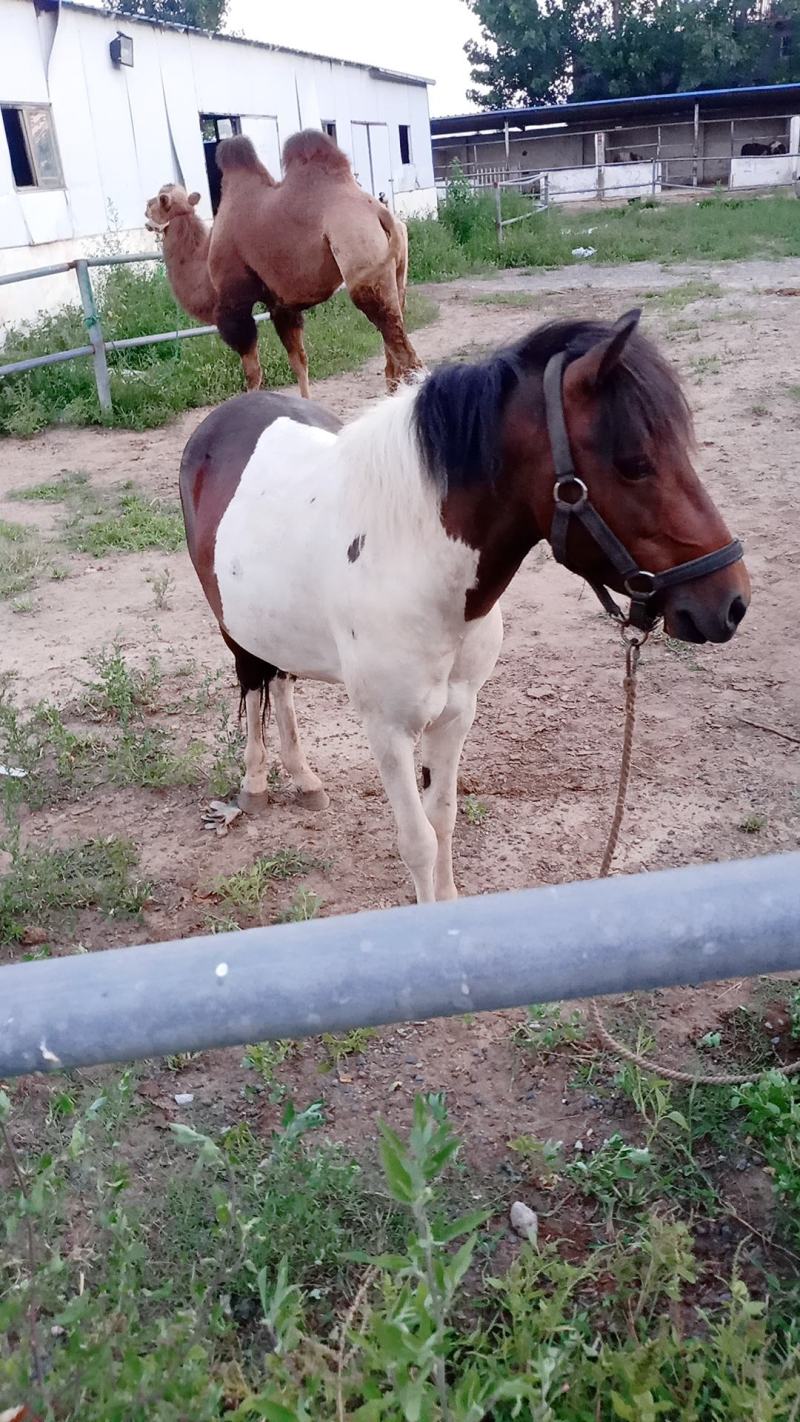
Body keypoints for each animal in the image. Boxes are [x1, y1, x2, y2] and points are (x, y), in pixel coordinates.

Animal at [179, 311, 750, 904]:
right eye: (634, 464)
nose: (731, 603)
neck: (409, 559)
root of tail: (221, 421)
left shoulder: (456, 715)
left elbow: (444, 819)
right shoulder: (387, 732)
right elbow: (417, 841)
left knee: (282, 682)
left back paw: (304, 778)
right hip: (234, 628)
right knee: (254, 685)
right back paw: (255, 783)